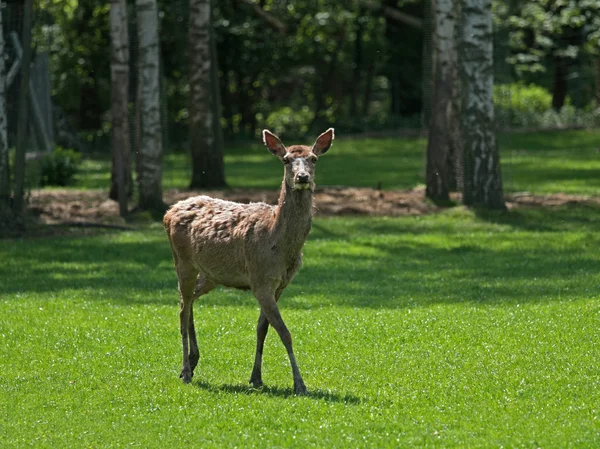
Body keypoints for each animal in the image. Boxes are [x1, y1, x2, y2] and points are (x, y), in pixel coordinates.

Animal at [162, 128, 336, 394]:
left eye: (313, 159)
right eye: (286, 159)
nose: (303, 177)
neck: (279, 245)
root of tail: (168, 213)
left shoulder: (280, 284)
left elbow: (262, 329)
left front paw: (256, 377)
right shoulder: (260, 278)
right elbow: (284, 332)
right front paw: (299, 384)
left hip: (211, 274)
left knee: (187, 300)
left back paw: (192, 361)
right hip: (183, 260)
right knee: (182, 309)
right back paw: (186, 371)